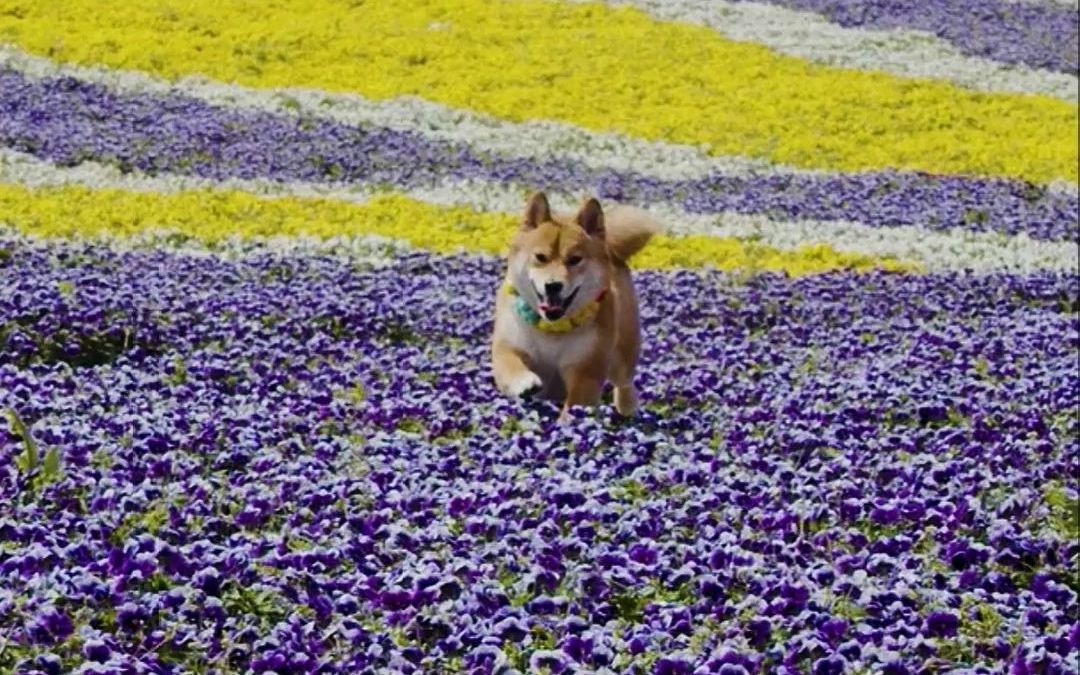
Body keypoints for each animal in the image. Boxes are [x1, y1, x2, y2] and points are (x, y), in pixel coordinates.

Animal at [492, 190, 656, 421]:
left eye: (575, 259)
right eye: (540, 257)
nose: (553, 285)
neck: (551, 329)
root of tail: (610, 249)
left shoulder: (585, 368)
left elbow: (577, 403)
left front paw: (566, 424)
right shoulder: (509, 344)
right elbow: (510, 364)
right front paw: (524, 382)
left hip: (624, 349)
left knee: (624, 380)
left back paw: (627, 406)